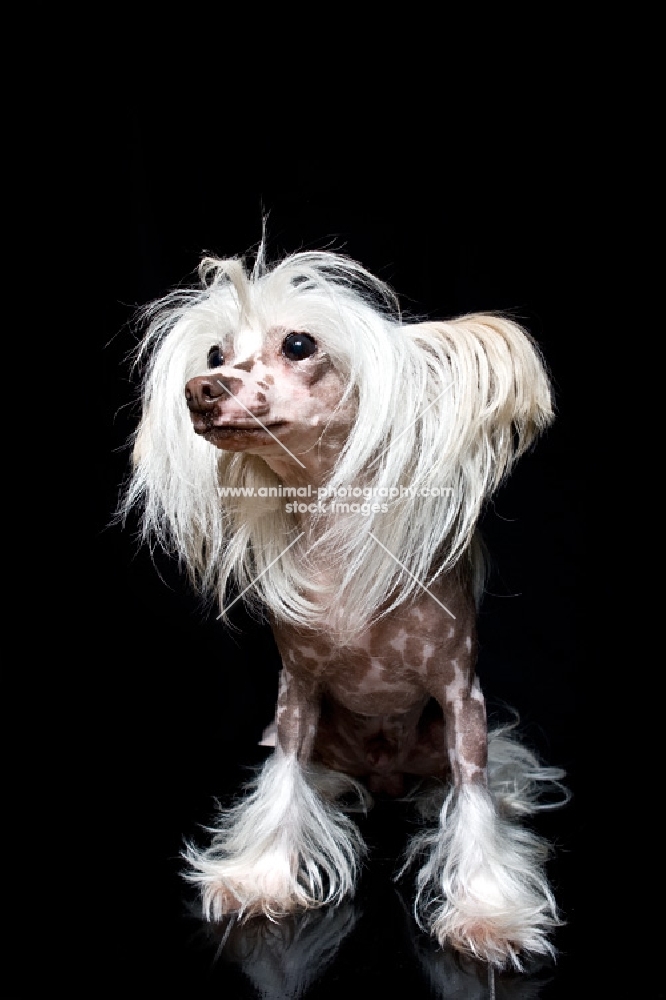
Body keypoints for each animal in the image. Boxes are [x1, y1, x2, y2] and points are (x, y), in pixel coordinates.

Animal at [122, 248, 564, 968]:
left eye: (299, 344)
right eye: (216, 352)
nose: (201, 388)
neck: (331, 536)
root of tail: (384, 778)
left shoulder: (460, 698)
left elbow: (473, 798)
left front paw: (487, 915)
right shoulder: (297, 694)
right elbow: (282, 778)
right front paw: (261, 878)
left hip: (436, 743)